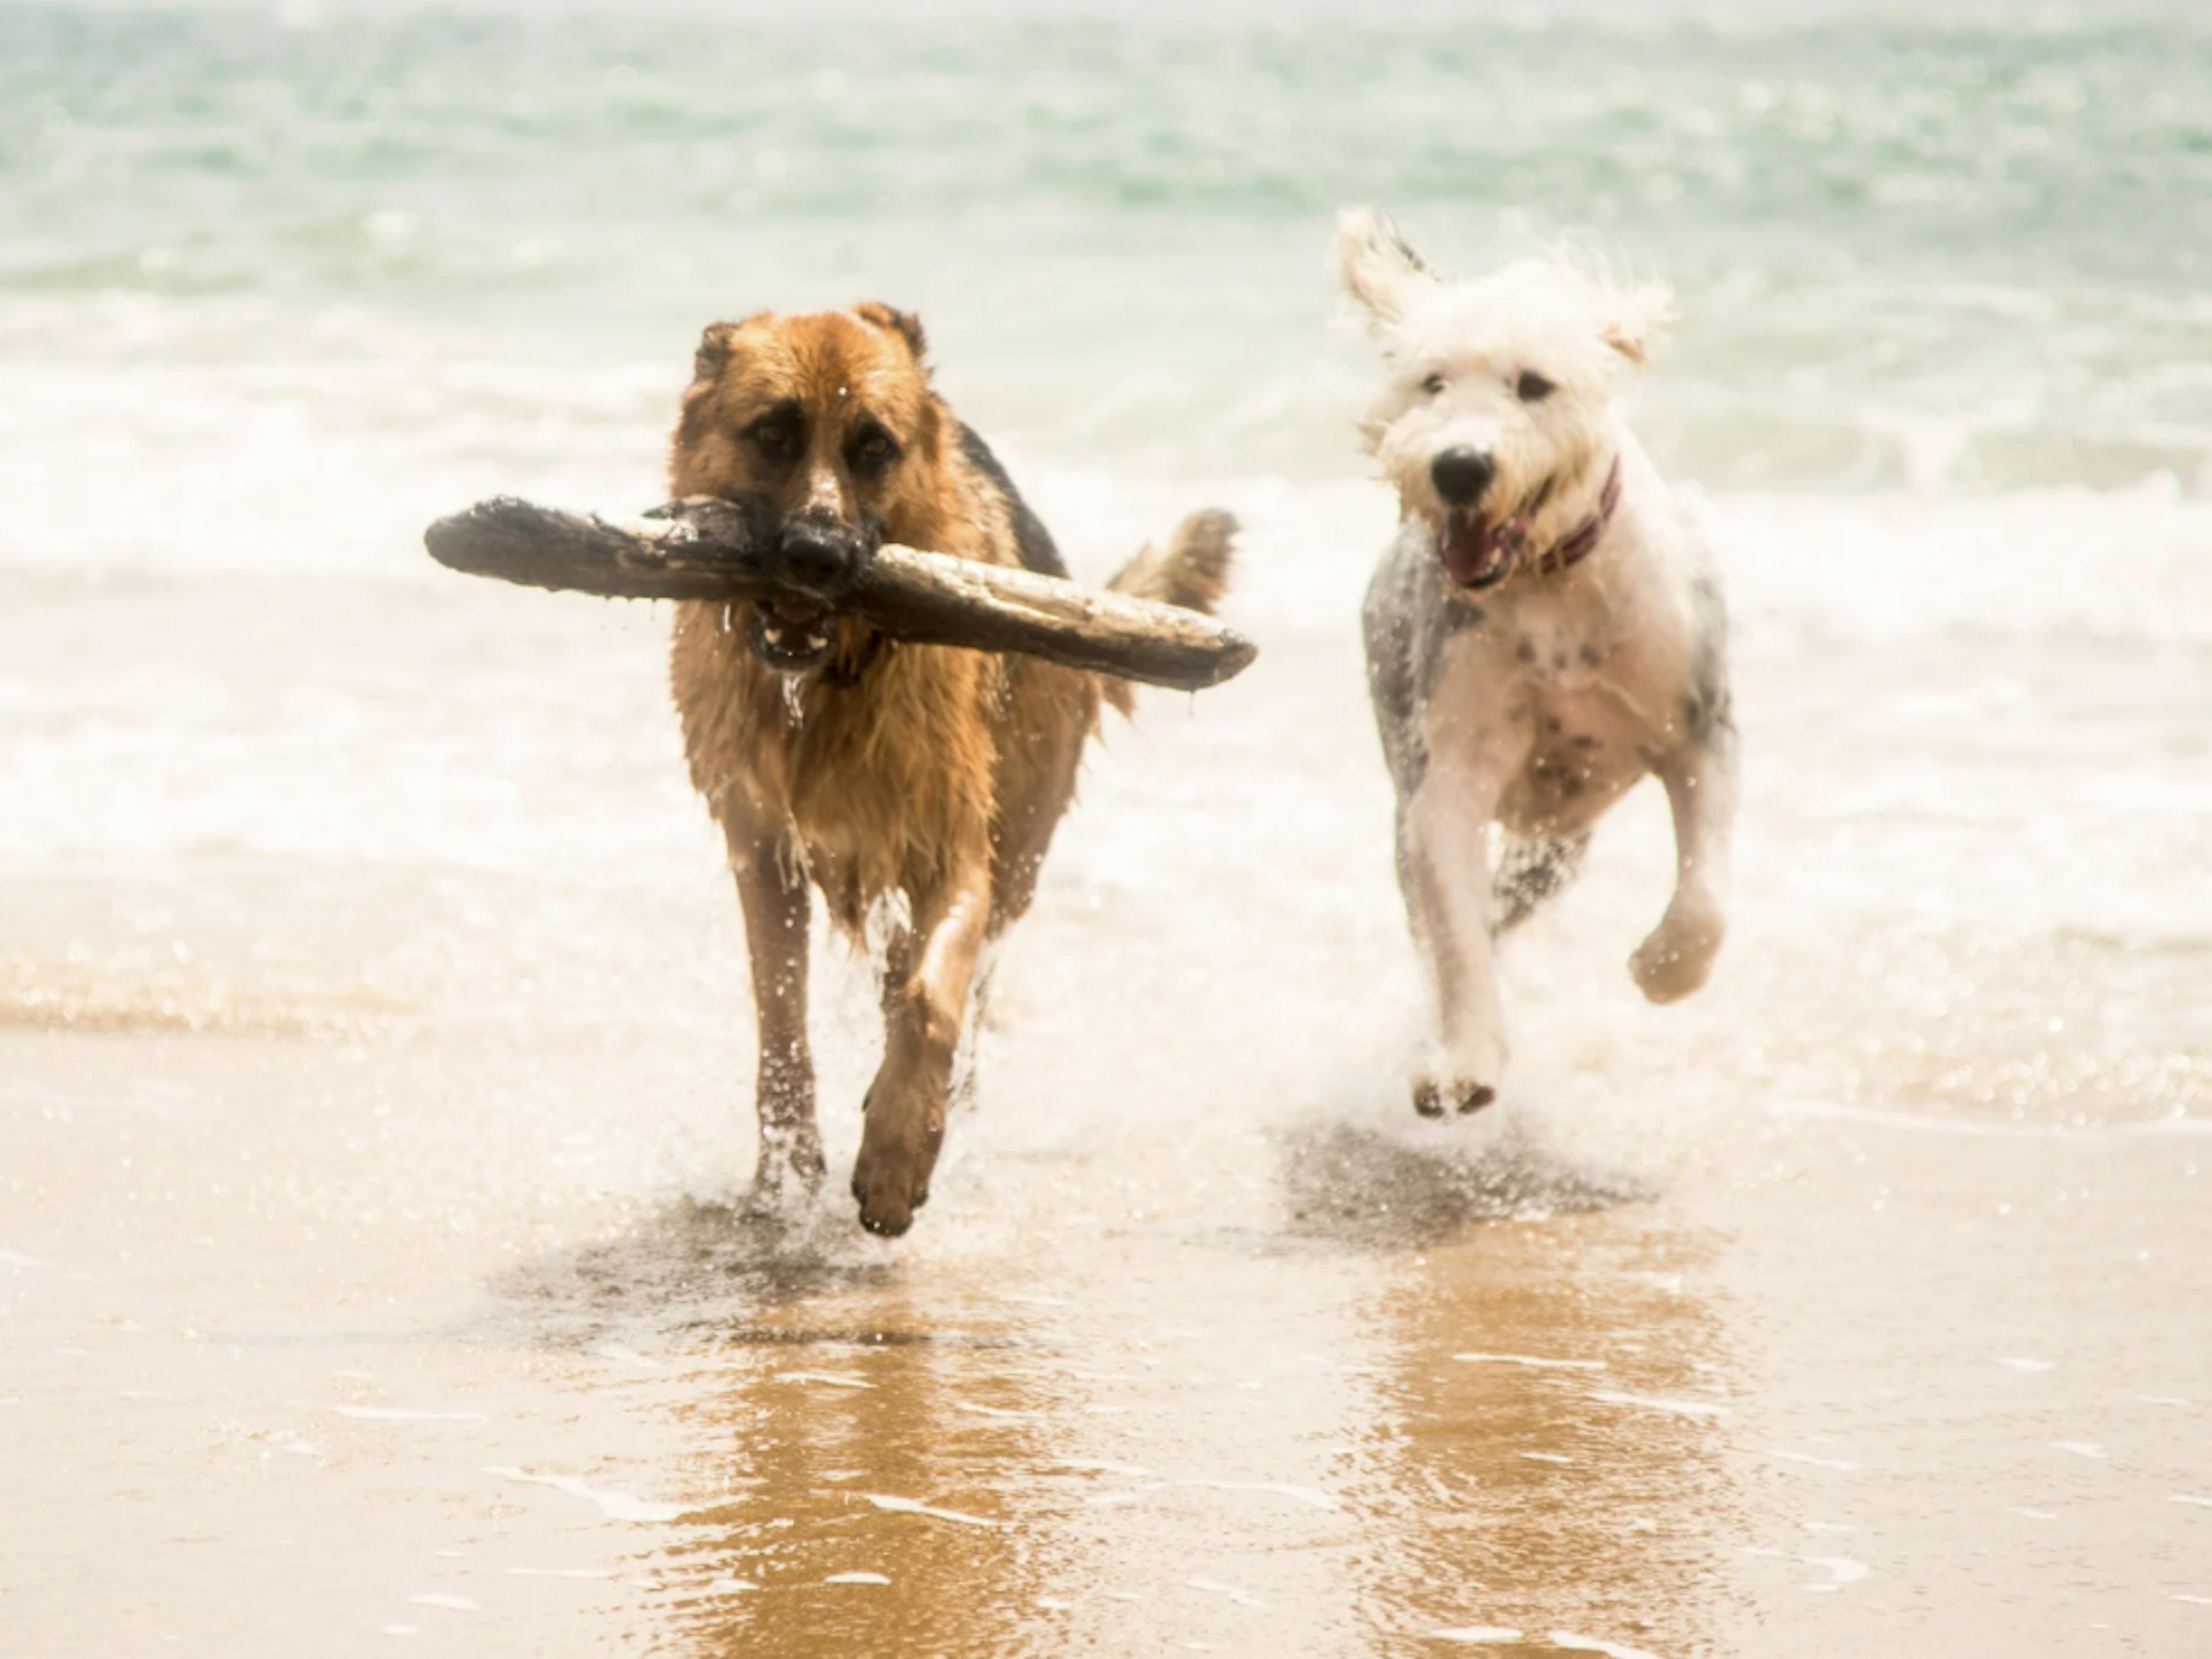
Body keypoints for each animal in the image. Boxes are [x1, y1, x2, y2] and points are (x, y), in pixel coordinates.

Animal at [664, 305, 1238, 1238]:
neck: (830, 684)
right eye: (773, 434)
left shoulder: (956, 856)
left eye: (874, 448)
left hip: (1017, 855)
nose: (819, 556)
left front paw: (901, 1153)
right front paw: (786, 1174)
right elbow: (780, 1023)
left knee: (953, 998)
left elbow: (932, 1003)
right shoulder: (764, 857)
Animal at [1336, 207, 1734, 1119]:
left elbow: (1706, 897)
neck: (1550, 584)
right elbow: (1455, 932)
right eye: (1434, 383)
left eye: (1534, 385)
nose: (1459, 466)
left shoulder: (1701, 728)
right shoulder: (1446, 781)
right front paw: (1464, 1059)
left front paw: (1662, 970)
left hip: (1560, 846)